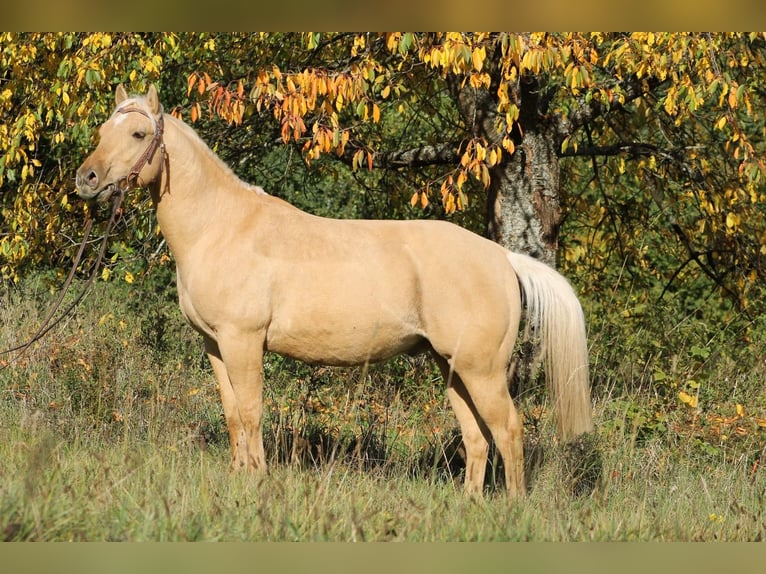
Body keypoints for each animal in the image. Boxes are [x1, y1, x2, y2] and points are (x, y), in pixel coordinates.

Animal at [76, 84, 593, 499]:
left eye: (138, 135)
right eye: (102, 131)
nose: (87, 179)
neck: (221, 227)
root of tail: (503, 258)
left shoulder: (243, 341)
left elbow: (251, 412)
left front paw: (257, 481)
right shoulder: (215, 345)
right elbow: (232, 415)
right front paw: (239, 477)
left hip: (481, 370)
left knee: (508, 431)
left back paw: (513, 506)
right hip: (452, 368)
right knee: (477, 437)